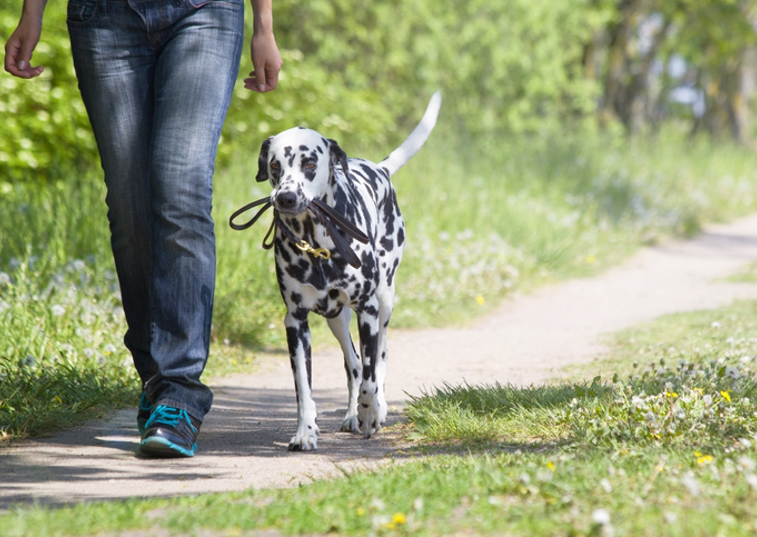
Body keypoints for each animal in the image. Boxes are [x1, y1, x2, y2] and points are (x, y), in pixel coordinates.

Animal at [254, 91, 440, 448]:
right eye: (274, 165)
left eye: (309, 163)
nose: (285, 198)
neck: (316, 244)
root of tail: (378, 168)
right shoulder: (295, 323)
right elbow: (304, 389)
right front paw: (305, 431)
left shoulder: (367, 310)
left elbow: (370, 378)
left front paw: (371, 414)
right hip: (336, 319)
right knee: (353, 363)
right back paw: (353, 414)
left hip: (384, 303)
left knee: (378, 361)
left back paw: (374, 409)